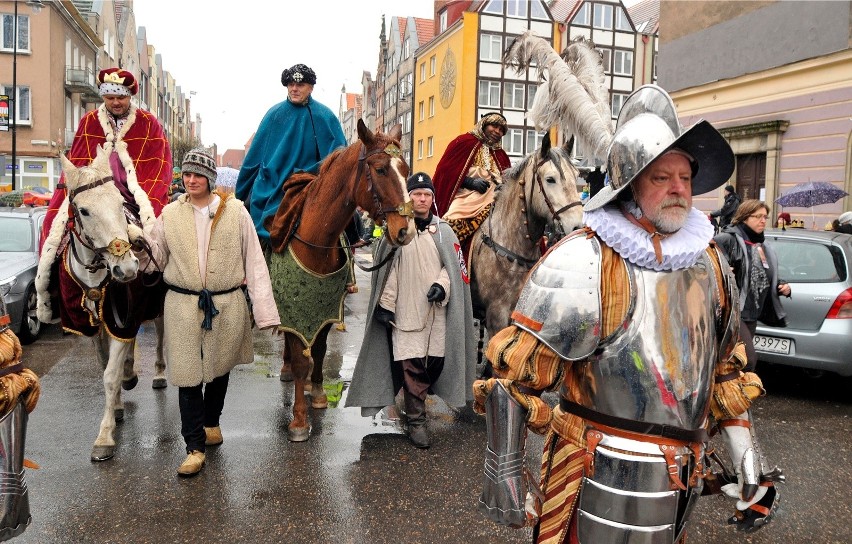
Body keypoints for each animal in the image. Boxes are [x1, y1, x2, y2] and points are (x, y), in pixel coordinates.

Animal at [36, 147, 153, 462]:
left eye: (120, 202)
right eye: (85, 210)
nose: (127, 268)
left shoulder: (121, 318)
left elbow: (110, 376)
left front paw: (104, 437)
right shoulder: (89, 323)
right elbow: (104, 365)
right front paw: (116, 408)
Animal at [268, 119, 412, 442]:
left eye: (406, 170)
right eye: (381, 169)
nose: (405, 231)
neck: (315, 243)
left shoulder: (326, 307)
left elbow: (319, 350)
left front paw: (319, 392)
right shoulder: (292, 308)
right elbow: (301, 360)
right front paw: (299, 420)